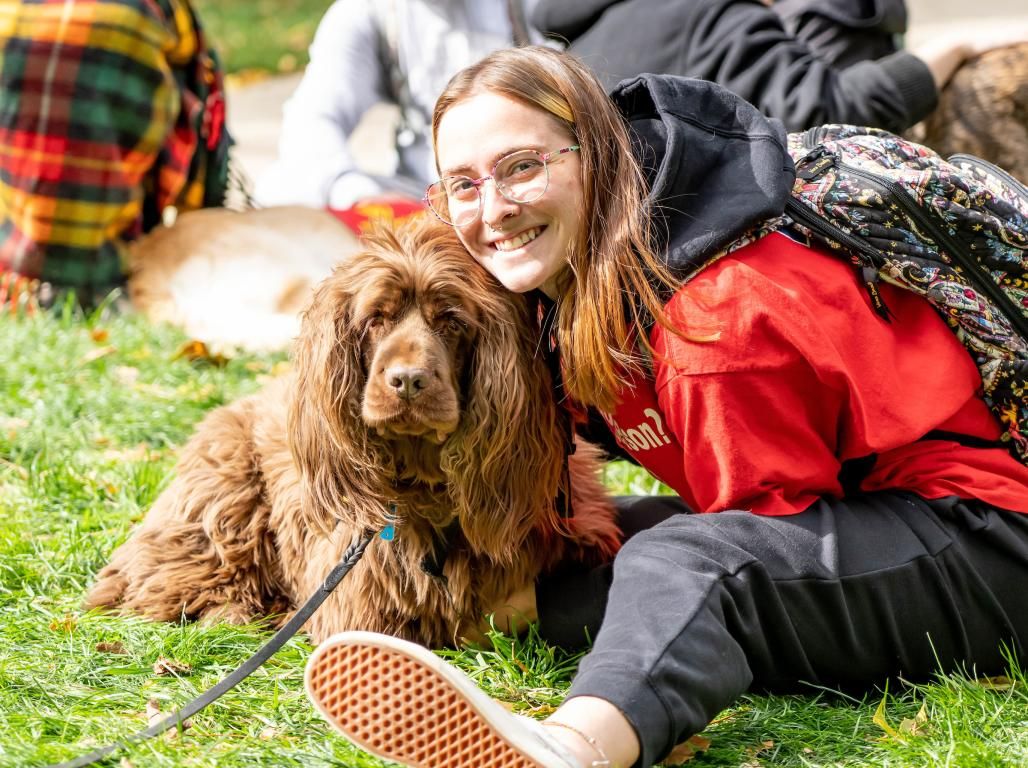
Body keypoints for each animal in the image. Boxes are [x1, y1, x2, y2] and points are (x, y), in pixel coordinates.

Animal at [86, 217, 616, 649]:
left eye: (452, 322)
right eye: (375, 319)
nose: (407, 380)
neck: (427, 490)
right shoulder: (355, 605)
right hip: (225, 492)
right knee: (157, 582)